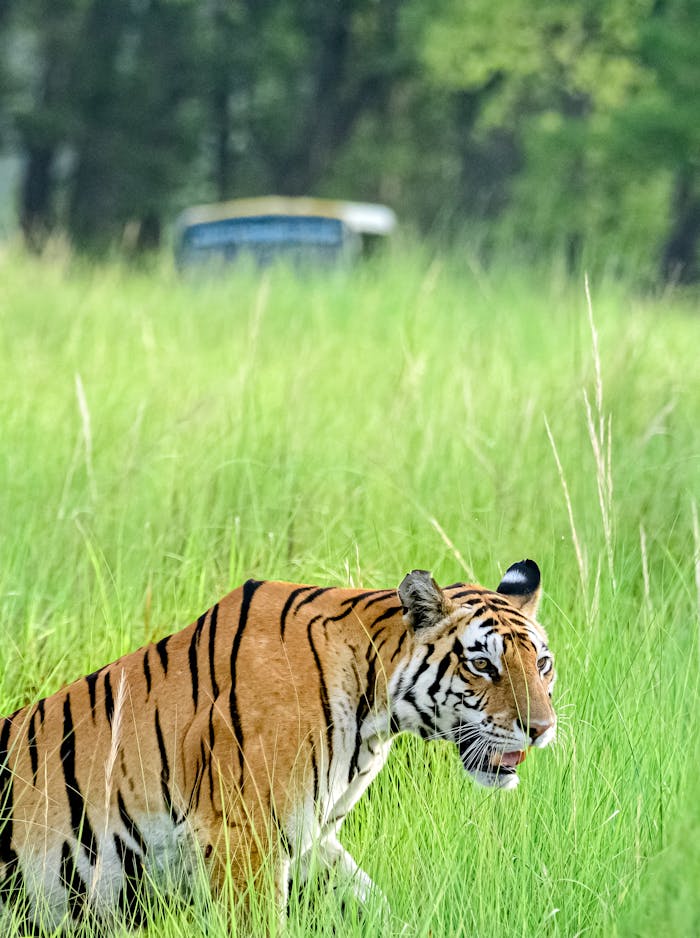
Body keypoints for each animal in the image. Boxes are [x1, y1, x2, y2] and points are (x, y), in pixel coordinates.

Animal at [0, 558, 556, 933]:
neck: (375, 712)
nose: (543, 728)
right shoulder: (245, 836)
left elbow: (372, 904)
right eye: (482, 664)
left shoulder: (311, 838)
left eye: (542, 664)